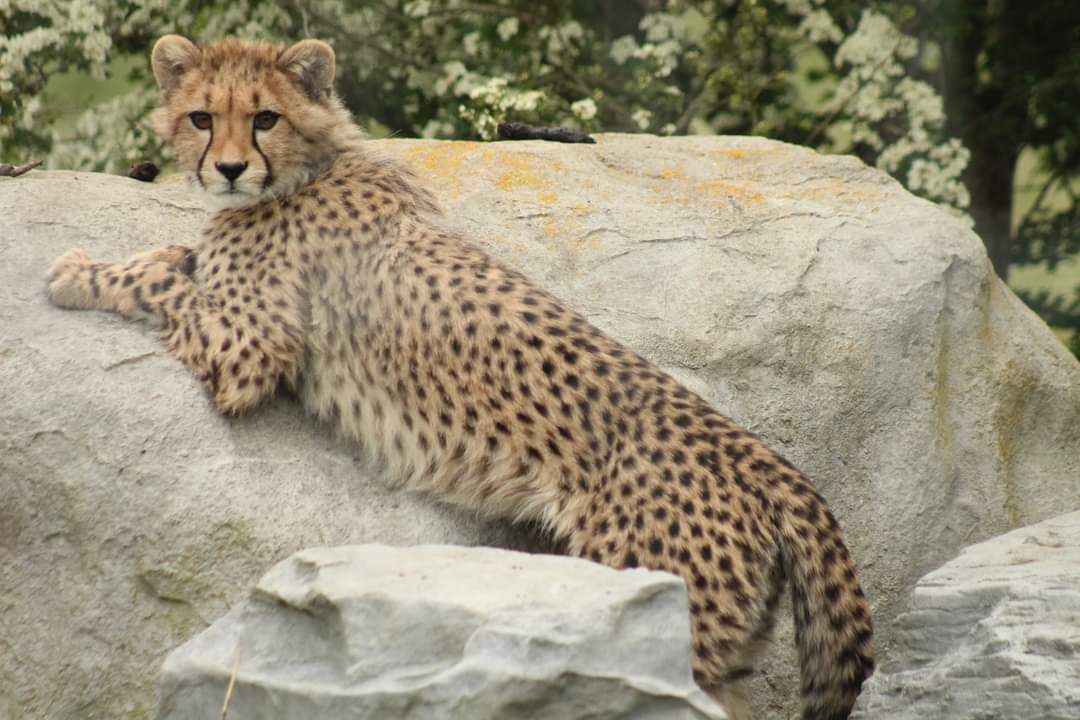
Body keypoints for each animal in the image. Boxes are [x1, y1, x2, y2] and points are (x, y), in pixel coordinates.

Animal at [46, 35, 874, 720]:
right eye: (200, 117)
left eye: (265, 119)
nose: (226, 168)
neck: (307, 170)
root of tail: (764, 459)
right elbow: (175, 262)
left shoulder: (249, 349)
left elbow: (162, 283)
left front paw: (77, 271)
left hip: (662, 611)